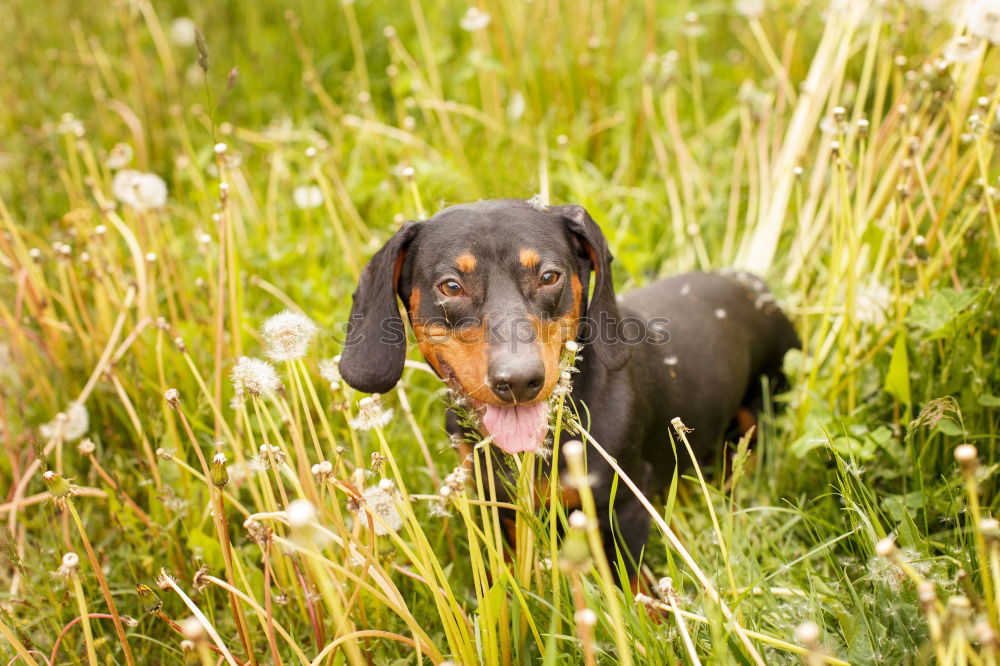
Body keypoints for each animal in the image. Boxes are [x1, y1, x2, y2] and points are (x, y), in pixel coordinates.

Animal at [340, 197, 800, 576]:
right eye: (451, 286)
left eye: (548, 276)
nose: (519, 381)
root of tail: (753, 285)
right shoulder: (495, 505)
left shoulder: (625, 507)